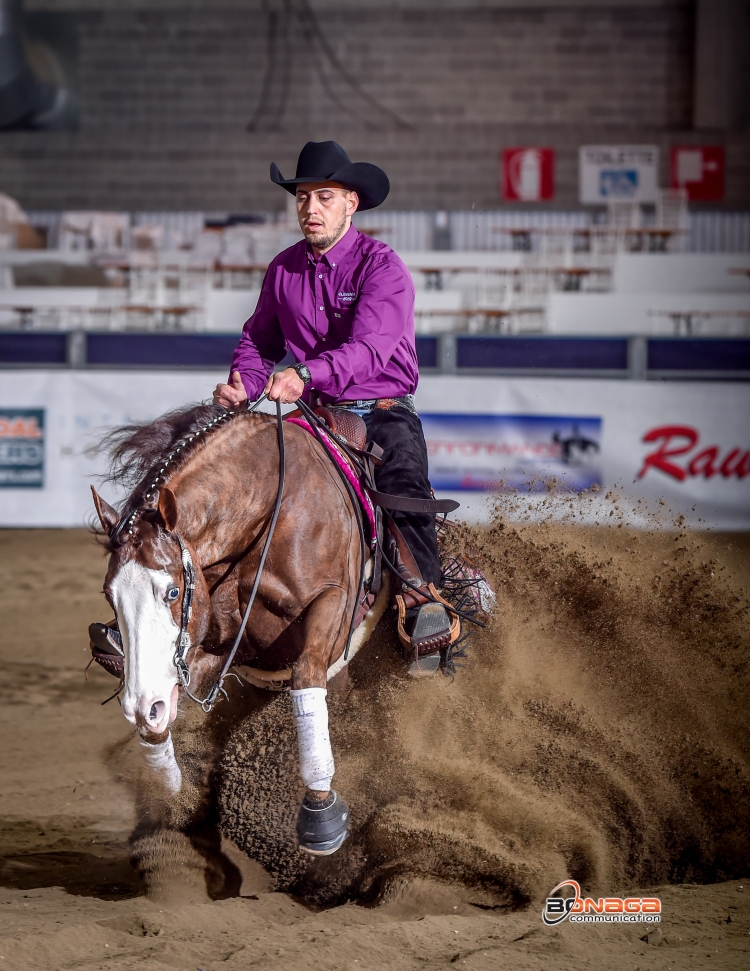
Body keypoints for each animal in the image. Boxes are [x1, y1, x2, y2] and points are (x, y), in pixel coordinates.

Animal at [91, 402, 390, 860]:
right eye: (110, 595)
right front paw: (173, 798)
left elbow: (307, 672)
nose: (143, 703)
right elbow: (159, 719)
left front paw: (320, 814)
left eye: (173, 590)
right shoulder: (213, 644)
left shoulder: (335, 605)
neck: (267, 512)